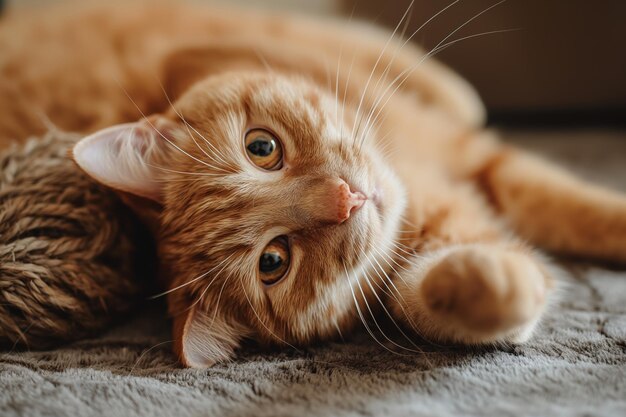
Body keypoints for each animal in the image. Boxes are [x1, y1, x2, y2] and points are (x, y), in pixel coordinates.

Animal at [2, 1, 620, 366]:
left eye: (261, 148)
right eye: (274, 261)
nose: (347, 199)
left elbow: (582, 207)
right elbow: (432, 298)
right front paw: (481, 281)